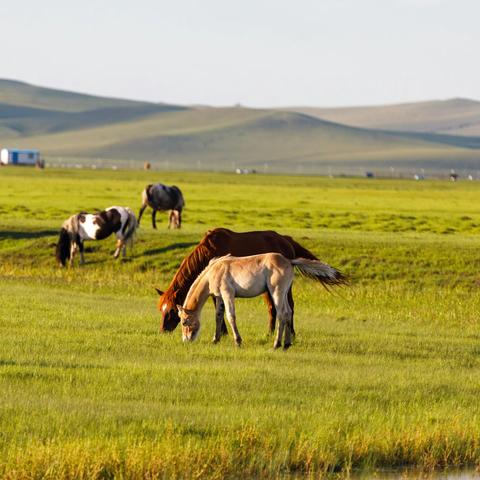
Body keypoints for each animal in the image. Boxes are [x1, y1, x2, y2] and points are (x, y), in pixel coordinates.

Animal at [156, 228, 346, 334]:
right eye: (161, 310)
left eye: (172, 311)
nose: (163, 330)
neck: (208, 254)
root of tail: (287, 241)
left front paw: (223, 333)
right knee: (273, 309)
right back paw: (270, 333)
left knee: (289, 307)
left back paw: (290, 333)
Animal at [179, 253, 342, 350]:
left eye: (185, 322)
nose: (186, 340)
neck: (214, 271)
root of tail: (289, 261)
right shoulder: (219, 297)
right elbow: (218, 316)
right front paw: (215, 340)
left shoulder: (227, 294)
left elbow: (231, 317)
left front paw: (238, 341)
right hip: (283, 294)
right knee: (288, 313)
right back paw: (287, 344)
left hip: (276, 292)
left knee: (282, 314)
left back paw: (277, 344)